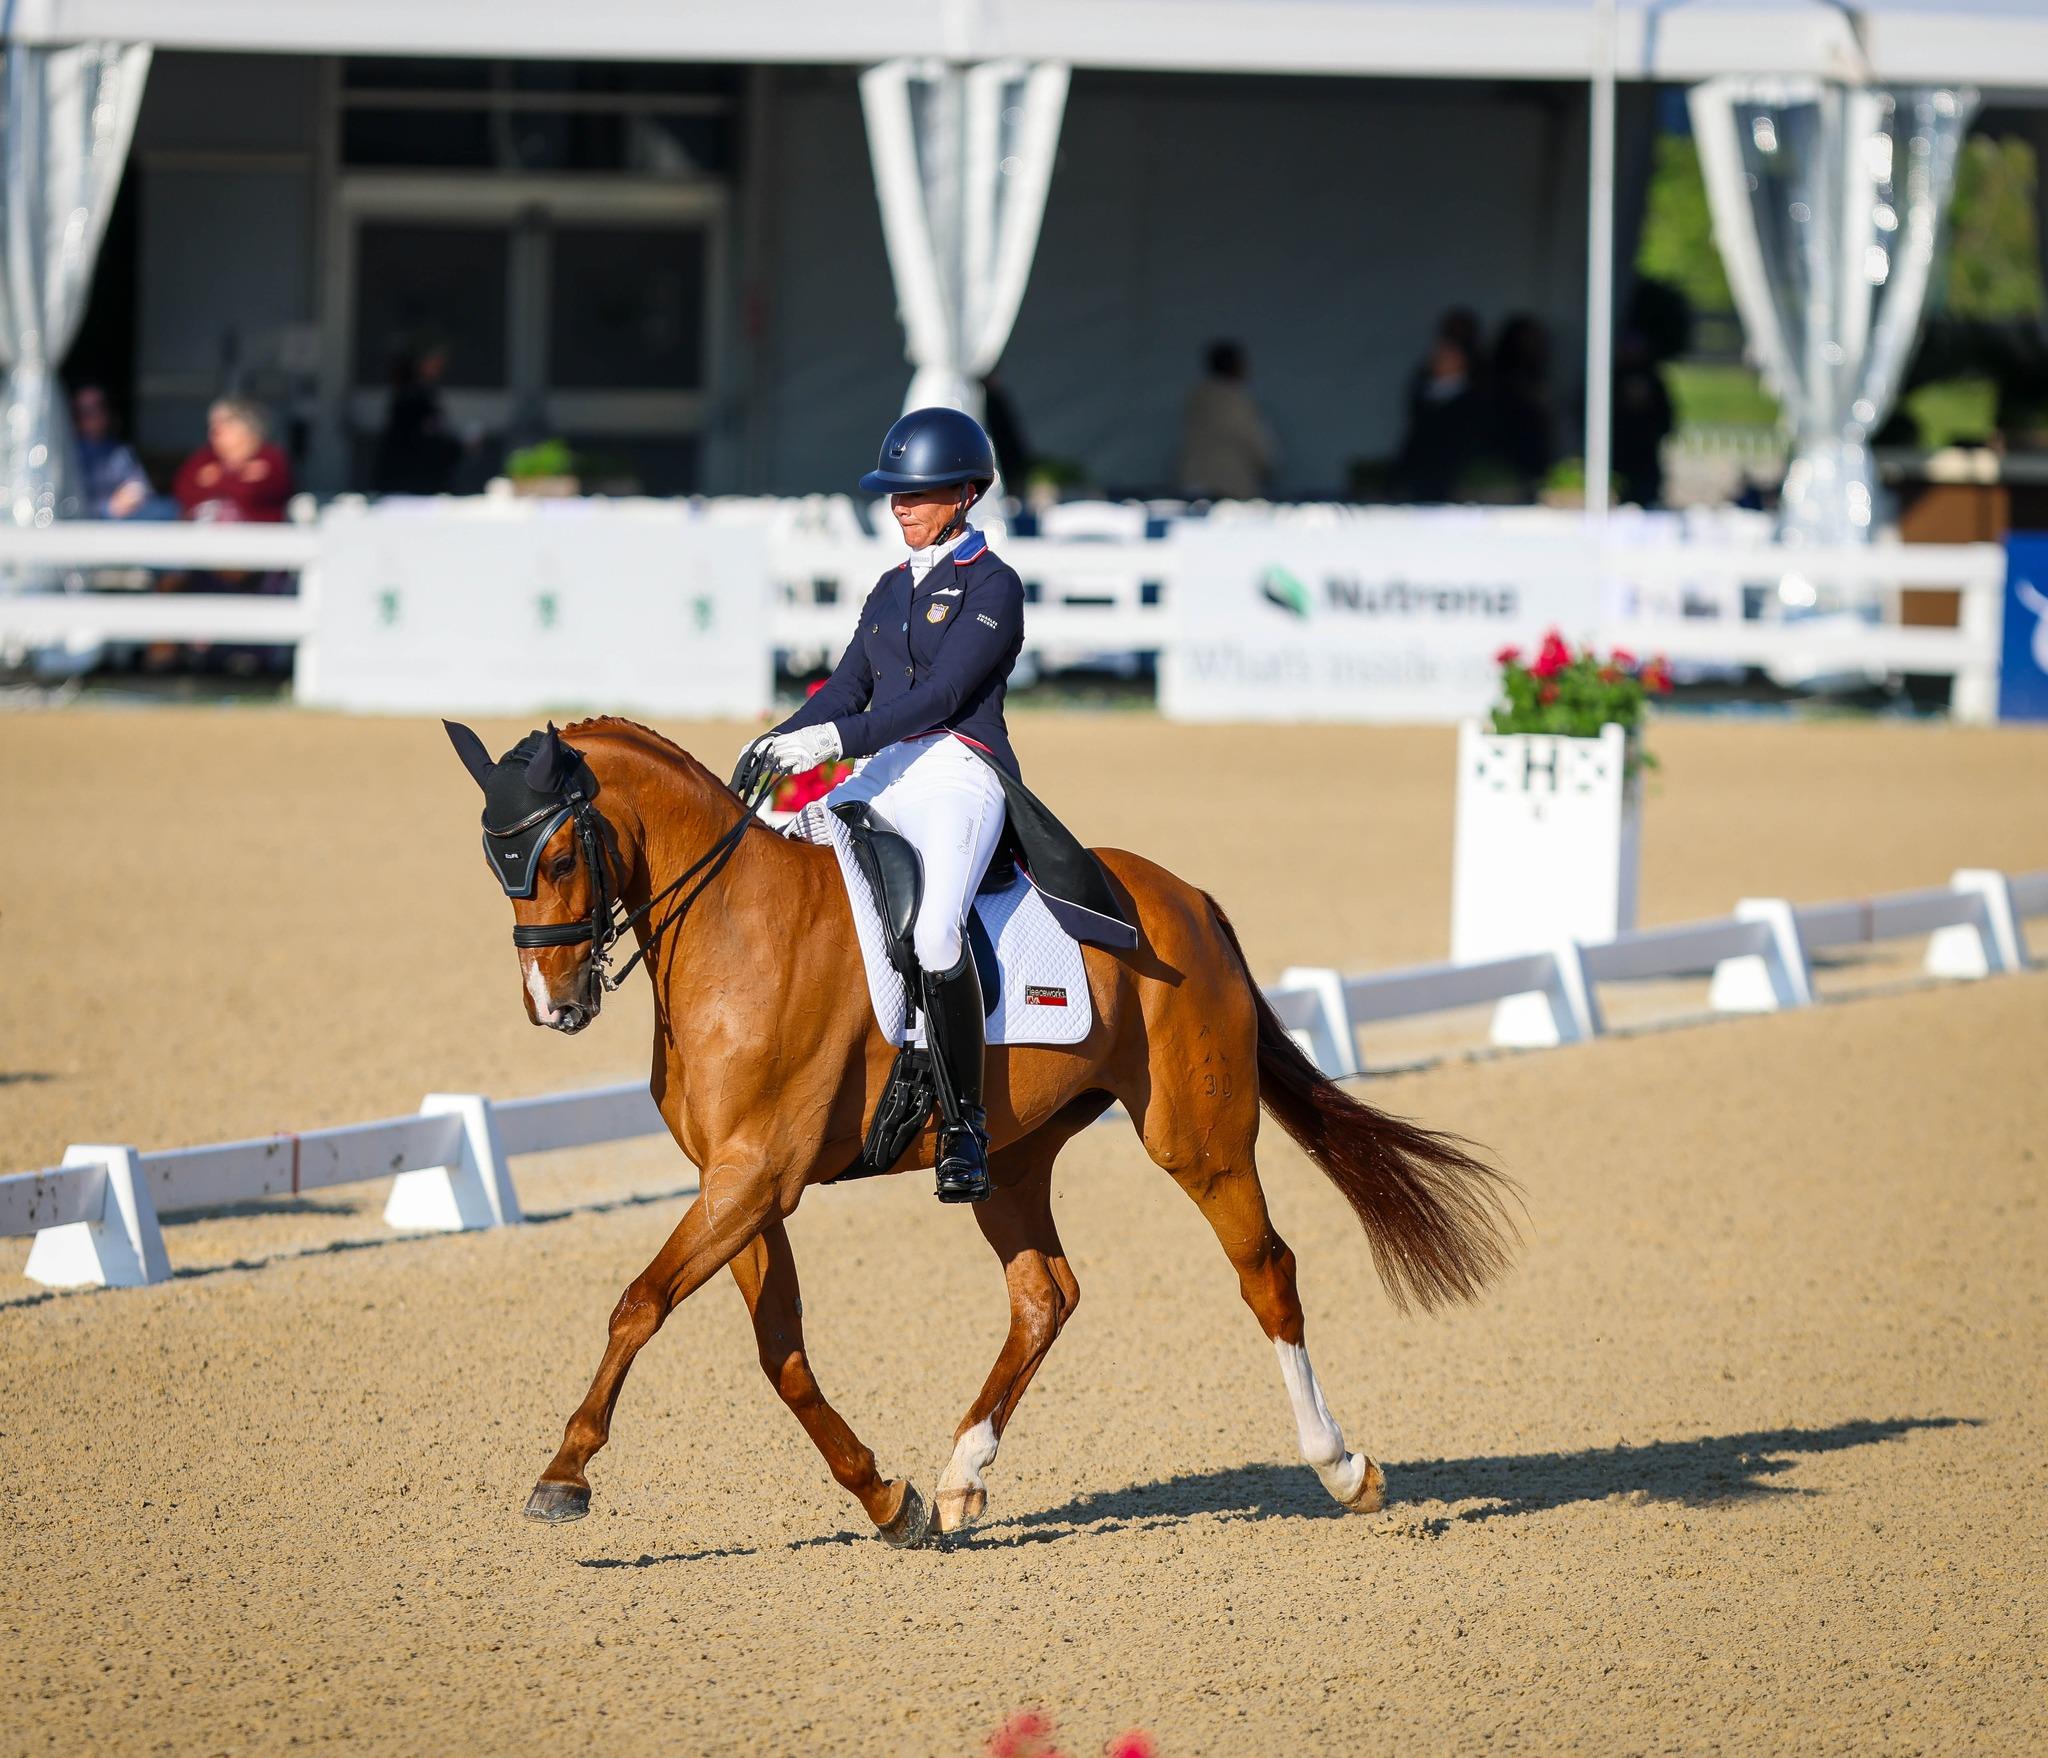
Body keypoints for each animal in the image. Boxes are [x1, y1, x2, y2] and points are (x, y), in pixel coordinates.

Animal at [464, 713, 1523, 1532]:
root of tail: (1186, 898)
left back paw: (1342, 1467)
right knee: (1045, 1295)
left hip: (1199, 1140)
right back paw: (960, 1476)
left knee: (1265, 1270)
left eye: (558, 853)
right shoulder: (738, 1183)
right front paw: (886, 1499)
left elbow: (639, 1304)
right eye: (496, 862)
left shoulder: (756, 1176)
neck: (734, 924)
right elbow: (781, 1355)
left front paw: (563, 1475)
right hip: (1009, 1159)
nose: (552, 1004)